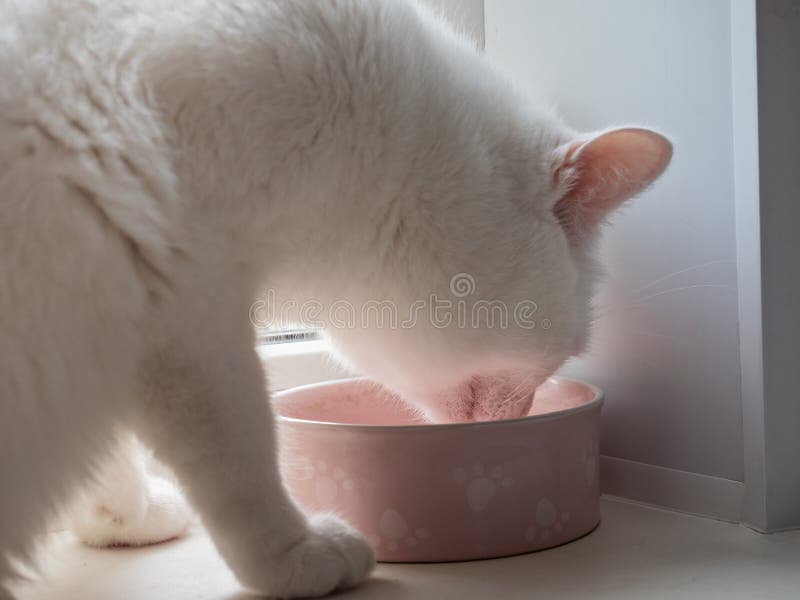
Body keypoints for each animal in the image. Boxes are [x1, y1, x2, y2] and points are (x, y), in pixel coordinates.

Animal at [0, 1, 672, 596]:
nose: (518, 420)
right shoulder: (190, 312)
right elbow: (239, 453)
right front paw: (293, 556)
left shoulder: (120, 311)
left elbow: (110, 457)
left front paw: (125, 521)